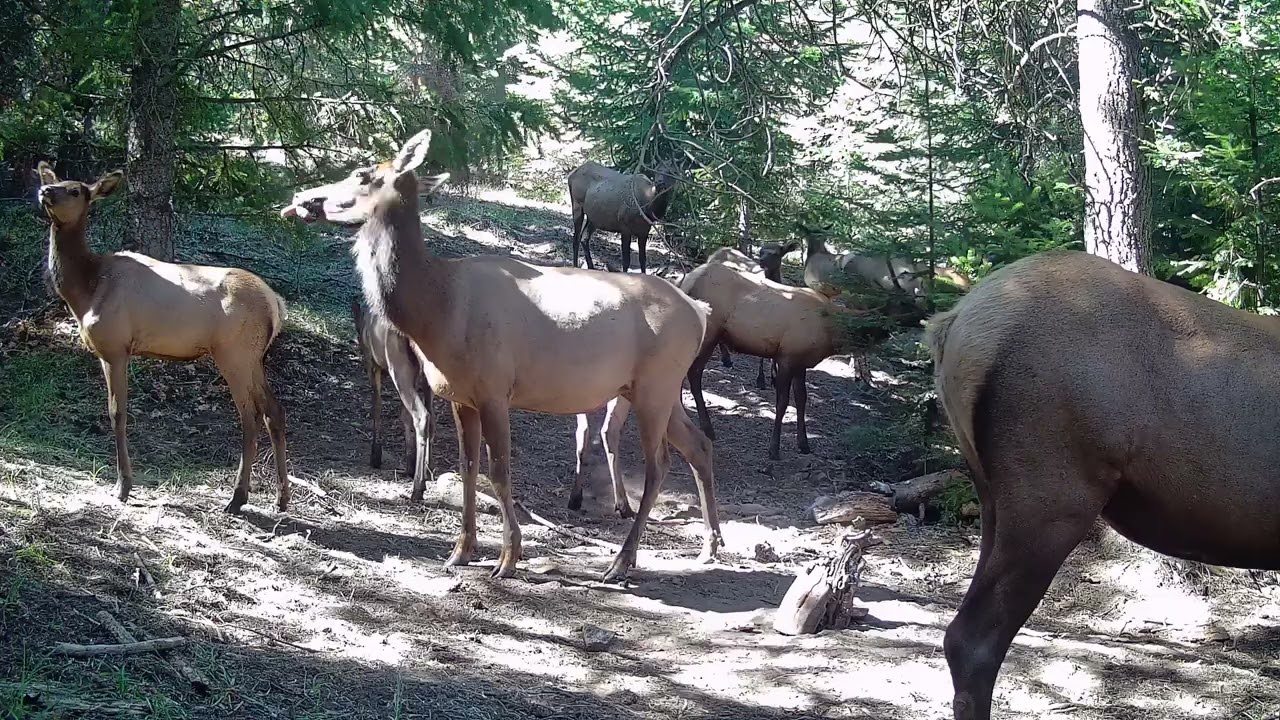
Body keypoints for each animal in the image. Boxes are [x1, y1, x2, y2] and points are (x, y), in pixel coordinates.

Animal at [35, 161, 290, 512]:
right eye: (56, 181)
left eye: (75, 190)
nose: (44, 190)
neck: (85, 291)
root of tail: (275, 304)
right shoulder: (105, 352)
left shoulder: (116, 347)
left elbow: (117, 413)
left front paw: (123, 487)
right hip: (254, 357)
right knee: (273, 411)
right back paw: (281, 498)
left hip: (233, 353)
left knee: (249, 416)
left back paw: (237, 498)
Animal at [351, 298, 437, 503]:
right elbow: (403, 415)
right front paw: (409, 463)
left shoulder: (372, 362)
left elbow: (376, 406)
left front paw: (375, 456)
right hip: (428, 374)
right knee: (430, 417)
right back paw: (427, 471)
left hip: (398, 366)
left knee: (422, 415)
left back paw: (417, 488)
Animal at [679, 252, 923, 460]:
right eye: (905, 304)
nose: (925, 315)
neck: (832, 332)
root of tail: (685, 280)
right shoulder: (787, 355)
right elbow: (782, 403)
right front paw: (774, 450)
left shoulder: (801, 361)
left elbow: (802, 400)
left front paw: (804, 444)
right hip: (710, 332)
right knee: (693, 374)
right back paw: (707, 428)